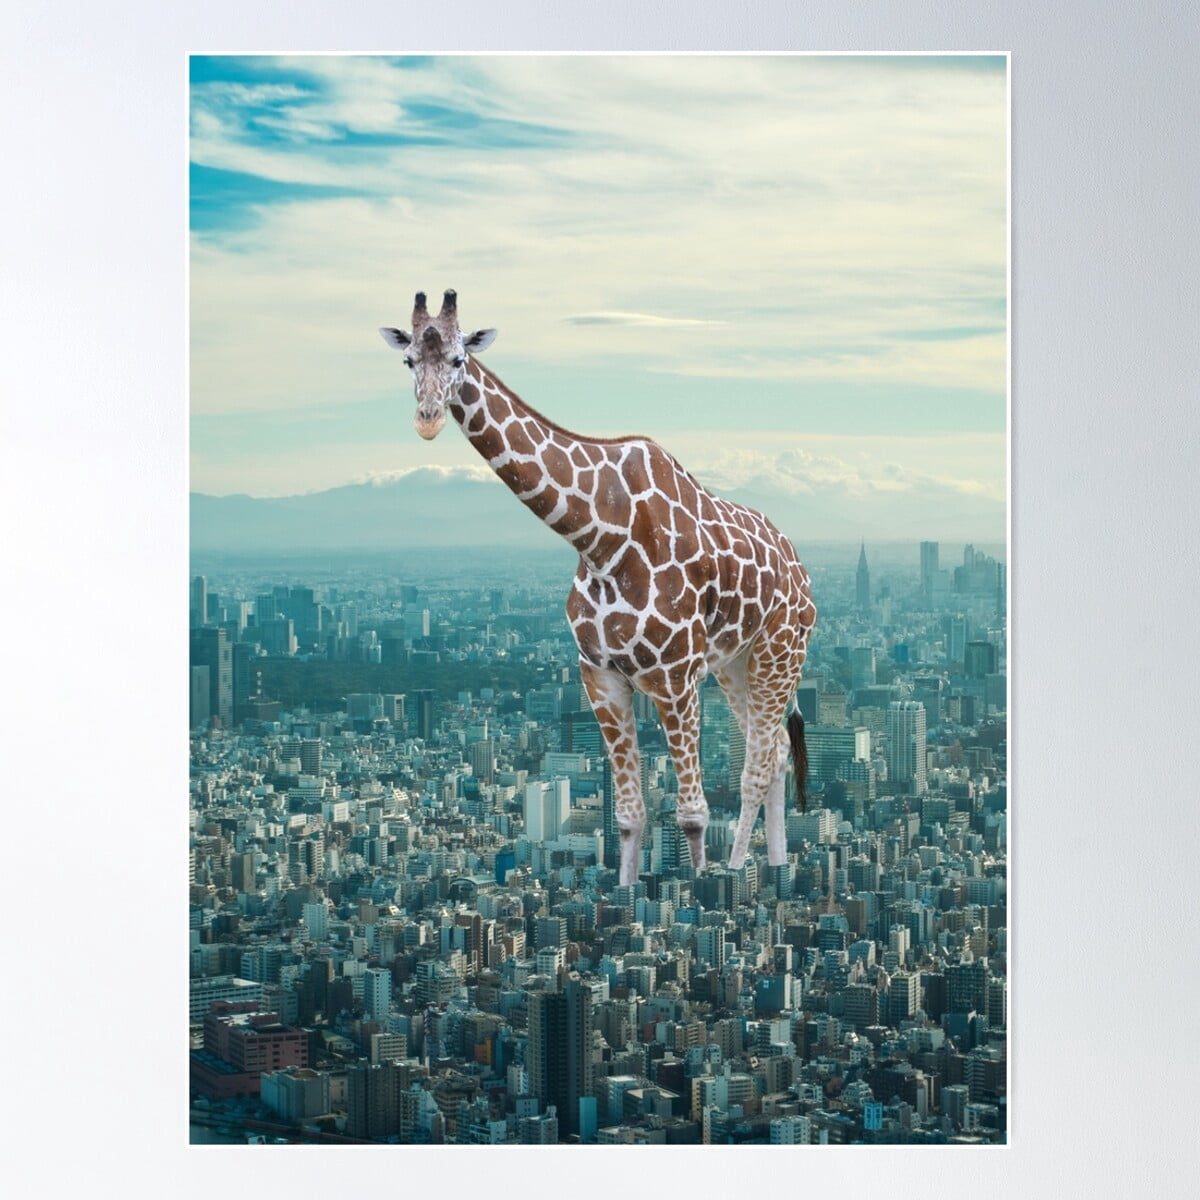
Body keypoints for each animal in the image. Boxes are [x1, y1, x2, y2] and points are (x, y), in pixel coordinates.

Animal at [380, 290, 817, 887]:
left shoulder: (676, 678)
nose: (426, 421)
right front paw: (630, 892)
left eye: (458, 359)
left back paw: (740, 870)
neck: (598, 537)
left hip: (781, 649)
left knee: (758, 766)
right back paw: (774, 865)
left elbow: (693, 813)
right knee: (772, 758)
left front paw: (704, 891)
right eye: (407, 362)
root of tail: (798, 564)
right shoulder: (600, 676)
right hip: (736, 663)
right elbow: (630, 816)